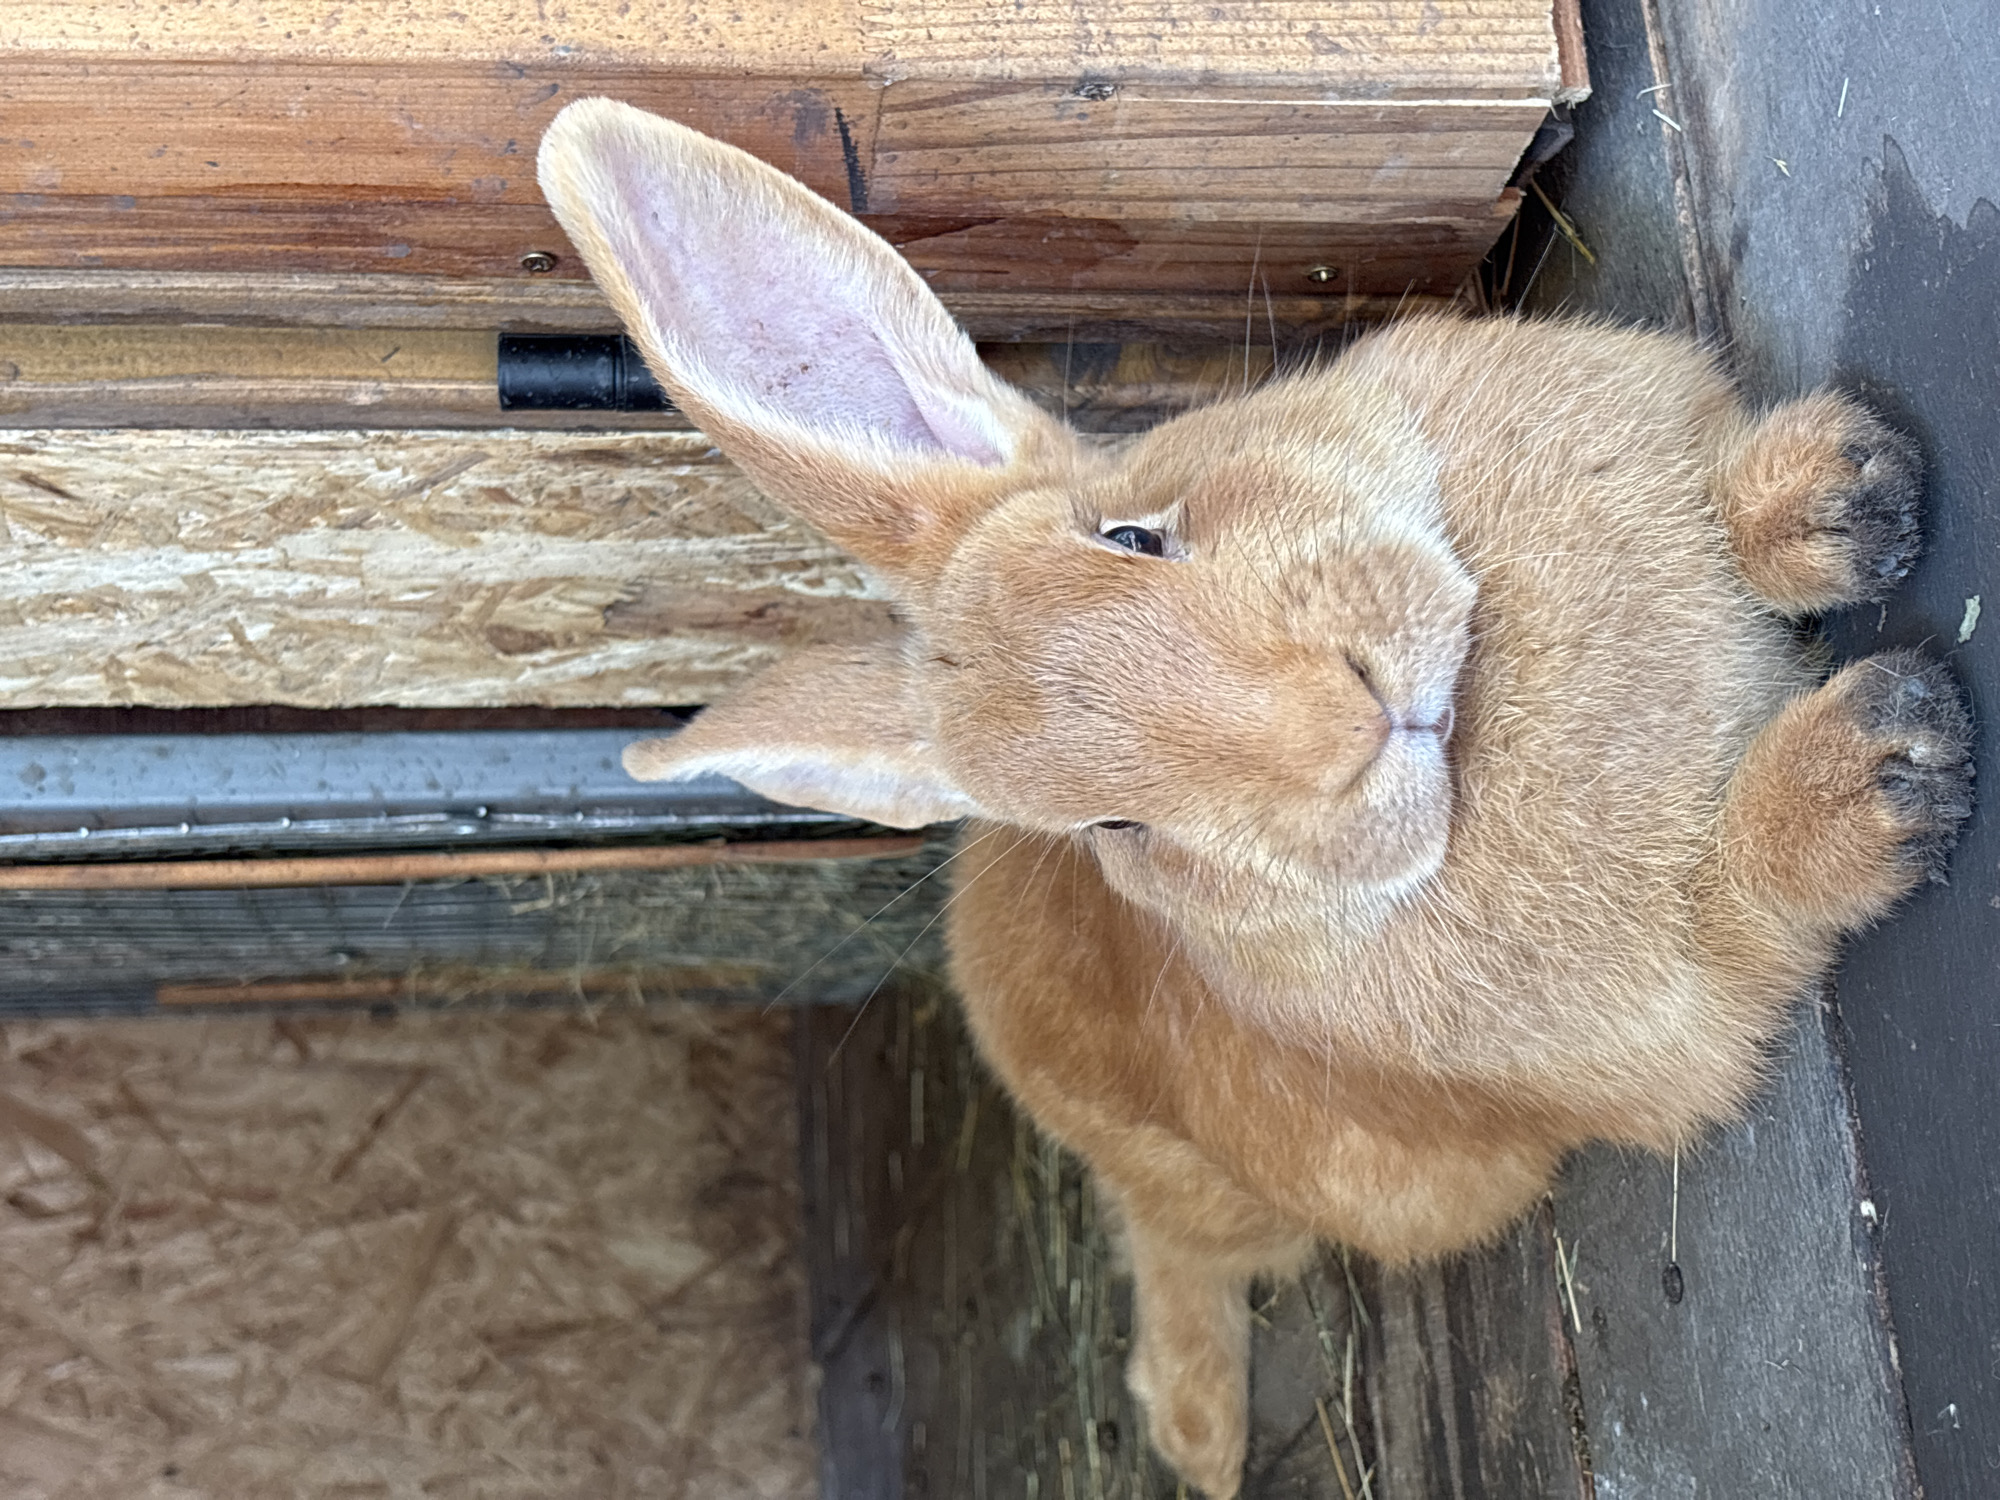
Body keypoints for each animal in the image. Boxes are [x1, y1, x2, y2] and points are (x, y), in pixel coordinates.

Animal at [537, 97, 1973, 1498]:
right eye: (1112, 829)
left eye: (1131, 536)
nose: (1350, 724)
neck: (1481, 724)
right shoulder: (1680, 992)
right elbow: (1755, 882)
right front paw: (1884, 761)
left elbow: (1718, 496)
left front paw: (1839, 494)